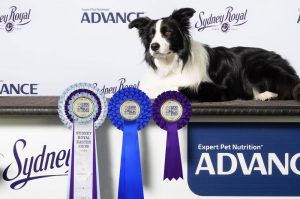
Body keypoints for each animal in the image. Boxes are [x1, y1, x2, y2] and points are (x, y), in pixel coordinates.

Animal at [128, 7, 300, 101]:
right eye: (151, 35)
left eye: (168, 32)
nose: (154, 46)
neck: (171, 65)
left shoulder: (221, 90)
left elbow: (177, 89)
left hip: (255, 67)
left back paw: (267, 95)